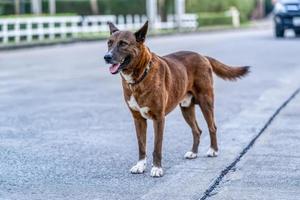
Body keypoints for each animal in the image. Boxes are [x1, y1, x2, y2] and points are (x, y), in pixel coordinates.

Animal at [104, 20, 250, 177]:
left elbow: (157, 146)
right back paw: (193, 152)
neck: (139, 77)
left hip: (206, 102)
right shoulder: (138, 119)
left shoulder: (159, 118)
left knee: (212, 127)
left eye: (123, 44)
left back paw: (213, 150)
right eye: (109, 43)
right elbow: (141, 145)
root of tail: (202, 56)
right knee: (197, 130)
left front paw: (157, 168)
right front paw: (140, 165)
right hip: (186, 108)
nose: (106, 57)